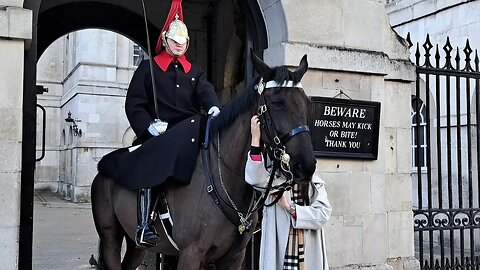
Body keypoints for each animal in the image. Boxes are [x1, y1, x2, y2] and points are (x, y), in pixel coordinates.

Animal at [90, 53, 316, 270]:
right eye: (277, 102)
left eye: (307, 103)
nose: (306, 165)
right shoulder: (190, 255)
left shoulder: (234, 257)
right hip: (111, 239)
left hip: (136, 246)